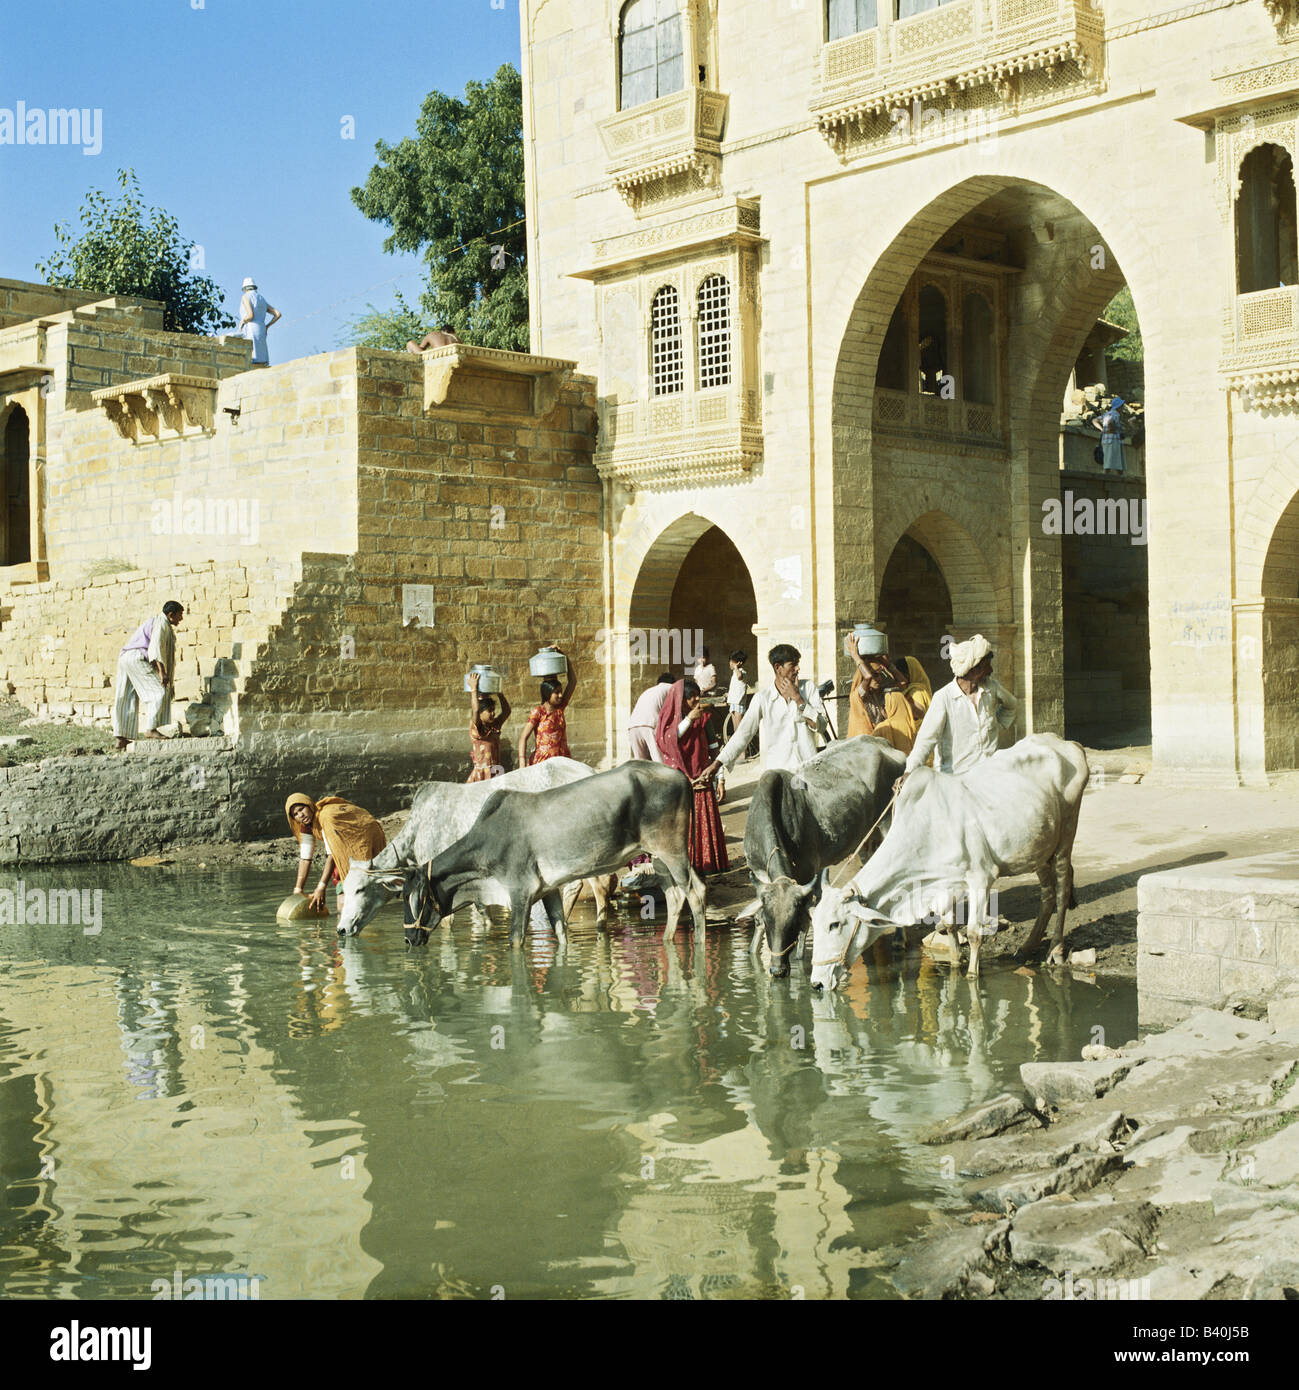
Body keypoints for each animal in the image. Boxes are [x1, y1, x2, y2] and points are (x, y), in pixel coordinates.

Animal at [405, 756, 711, 950]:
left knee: (694, 893)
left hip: (672, 852)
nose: (408, 939)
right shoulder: (548, 889)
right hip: (661, 858)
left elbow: (516, 941)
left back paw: (699, 946)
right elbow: (561, 932)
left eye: (415, 899)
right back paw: (668, 941)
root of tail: (681, 776)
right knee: (678, 894)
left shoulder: (520, 892)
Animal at [739, 739, 905, 978]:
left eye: (792, 922)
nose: (778, 970)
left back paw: (899, 940)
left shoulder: (808, 872)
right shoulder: (759, 873)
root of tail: (882, 743)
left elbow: (806, 924)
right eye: (769, 921)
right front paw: (753, 954)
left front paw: (799, 961)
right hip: (866, 837)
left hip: (888, 824)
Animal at [811, 739, 1089, 989]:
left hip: (1066, 834)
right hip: (1038, 847)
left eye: (834, 924)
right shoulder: (942, 883)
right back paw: (1027, 946)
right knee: (1047, 895)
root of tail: (1069, 745)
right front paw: (955, 964)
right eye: (814, 922)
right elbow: (949, 926)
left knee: (1062, 890)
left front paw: (972, 976)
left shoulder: (981, 877)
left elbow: (974, 933)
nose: (817, 983)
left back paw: (1056, 950)